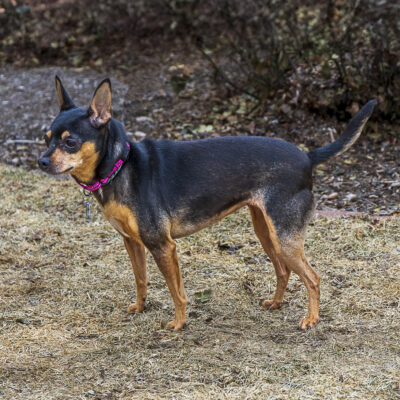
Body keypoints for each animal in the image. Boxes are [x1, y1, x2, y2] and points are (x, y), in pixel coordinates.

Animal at [37, 77, 376, 332]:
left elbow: (177, 292)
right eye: (45, 138)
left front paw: (178, 324)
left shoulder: (163, 246)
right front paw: (140, 308)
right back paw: (276, 303)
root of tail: (307, 156)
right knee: (283, 270)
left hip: (285, 236)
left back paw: (311, 319)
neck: (121, 166)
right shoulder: (132, 242)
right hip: (266, 231)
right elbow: (141, 279)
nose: (40, 162)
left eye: (70, 142)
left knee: (313, 278)